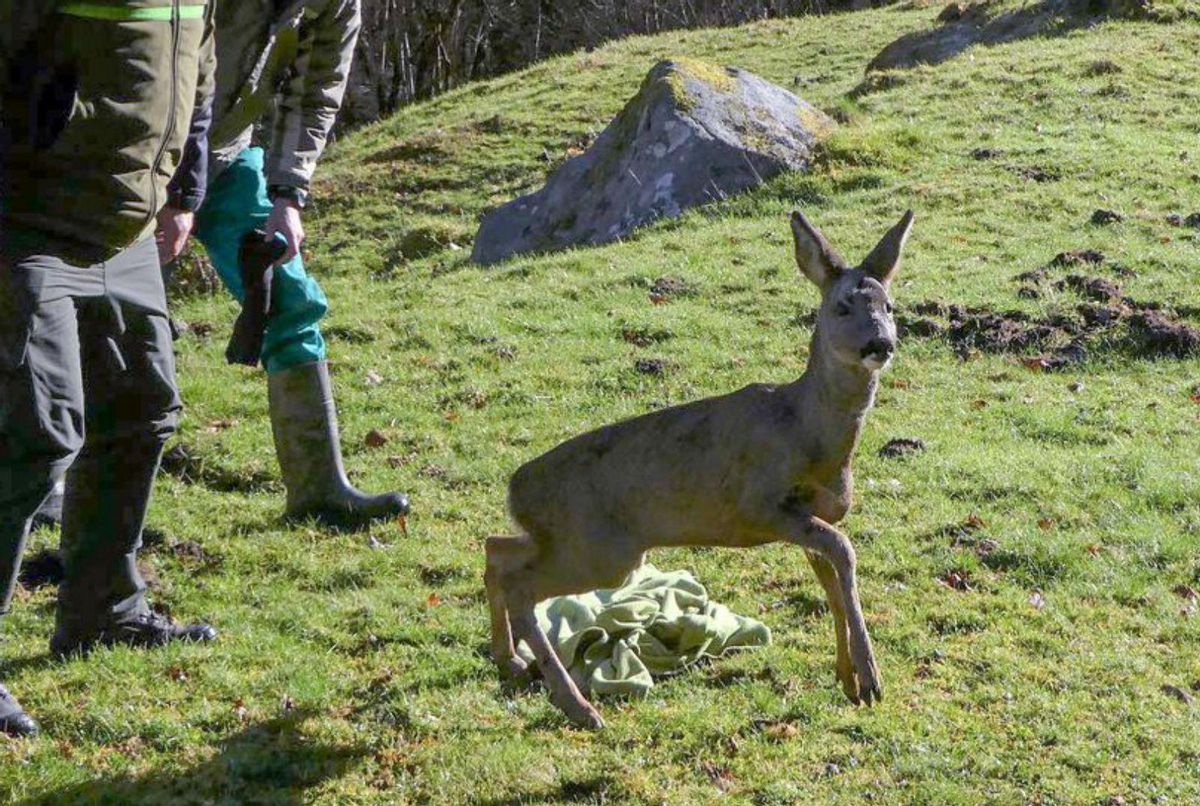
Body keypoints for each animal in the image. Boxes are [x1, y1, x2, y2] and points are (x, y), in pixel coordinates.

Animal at [482, 211, 912, 729]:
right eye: (843, 306)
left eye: (889, 305)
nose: (880, 343)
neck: (807, 430)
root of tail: (516, 489)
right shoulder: (760, 505)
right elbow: (844, 553)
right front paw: (869, 679)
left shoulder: (815, 515)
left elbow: (830, 578)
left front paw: (849, 679)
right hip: (602, 550)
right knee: (519, 582)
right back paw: (579, 706)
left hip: (573, 542)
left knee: (496, 549)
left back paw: (512, 662)